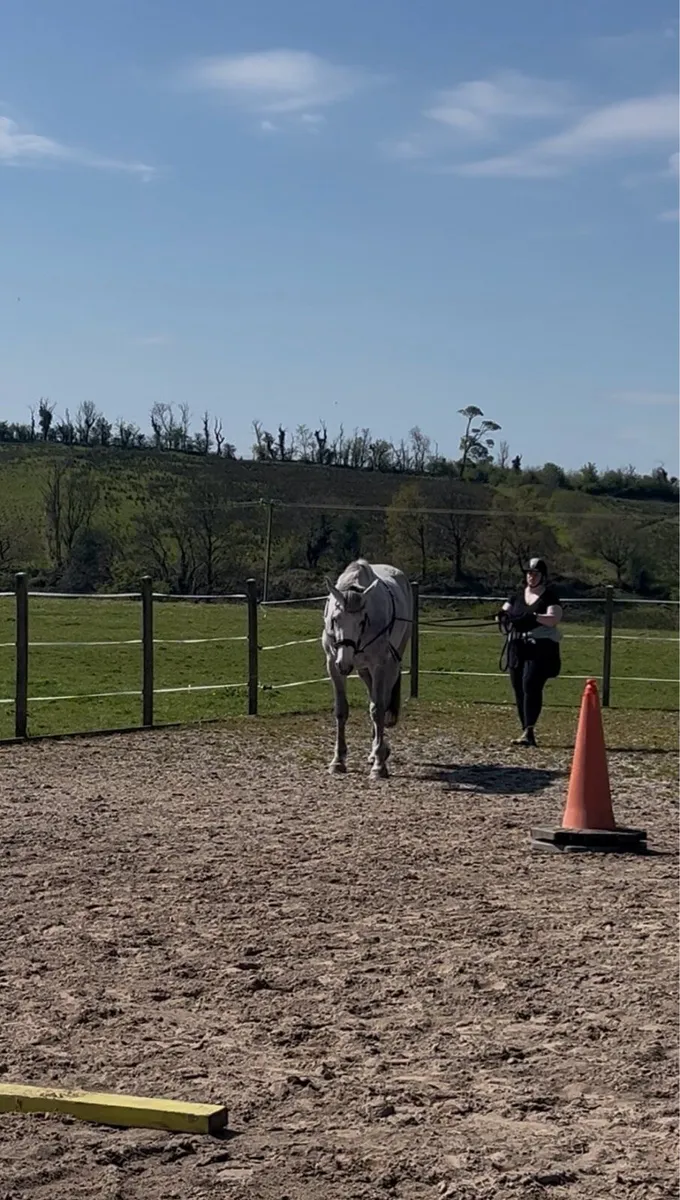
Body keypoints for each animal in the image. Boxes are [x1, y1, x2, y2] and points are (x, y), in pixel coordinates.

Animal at [322, 559, 413, 778]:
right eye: (335, 618)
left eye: (362, 621)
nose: (344, 663)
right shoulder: (333, 664)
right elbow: (341, 710)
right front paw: (338, 761)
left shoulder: (379, 664)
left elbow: (378, 708)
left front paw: (379, 766)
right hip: (363, 670)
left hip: (392, 664)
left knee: (382, 700)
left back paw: (378, 752)